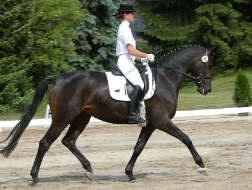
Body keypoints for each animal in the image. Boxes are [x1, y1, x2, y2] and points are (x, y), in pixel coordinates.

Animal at [0, 44, 217, 183]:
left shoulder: (150, 124)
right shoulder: (161, 121)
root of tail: (57, 79)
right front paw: (202, 165)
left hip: (82, 117)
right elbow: (186, 138)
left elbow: (138, 147)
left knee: (69, 141)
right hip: (62, 118)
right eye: (207, 64)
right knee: (45, 142)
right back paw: (35, 176)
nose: (207, 89)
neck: (165, 77)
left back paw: (88, 170)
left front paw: (129, 173)